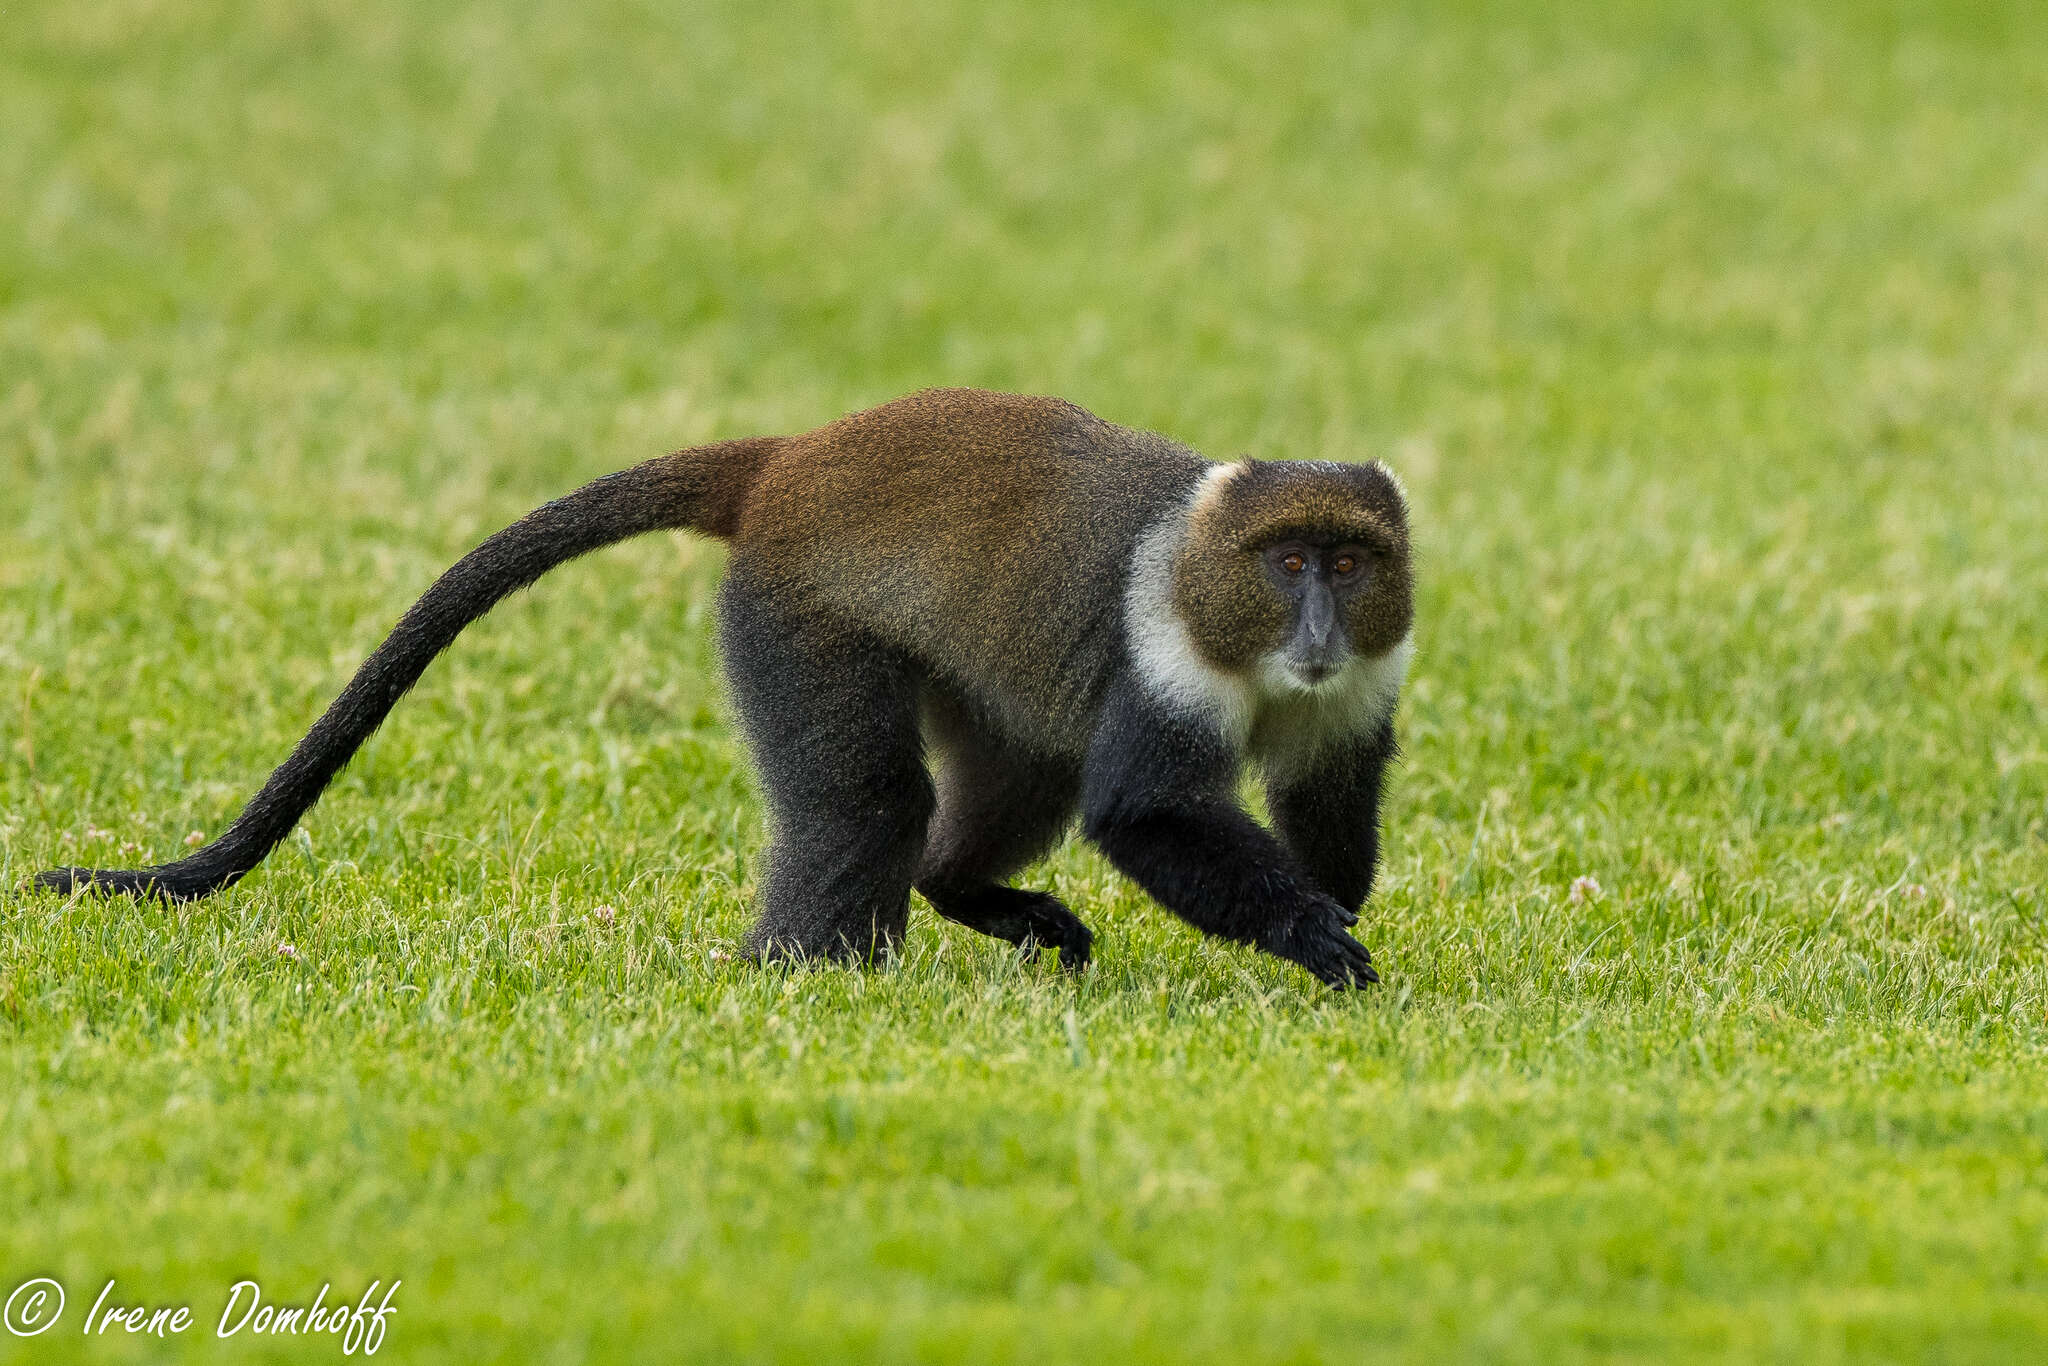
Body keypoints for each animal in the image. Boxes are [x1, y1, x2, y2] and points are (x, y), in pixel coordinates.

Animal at [28, 389, 1409, 987]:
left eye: (1350, 561)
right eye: (1287, 562)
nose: (1317, 627)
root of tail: (788, 460)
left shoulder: (1359, 689)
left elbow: (1327, 794)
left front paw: (1325, 911)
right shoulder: (1161, 655)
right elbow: (1144, 809)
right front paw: (1307, 937)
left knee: (1002, 780)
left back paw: (962, 896)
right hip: (797, 616)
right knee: (864, 804)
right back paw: (802, 976)